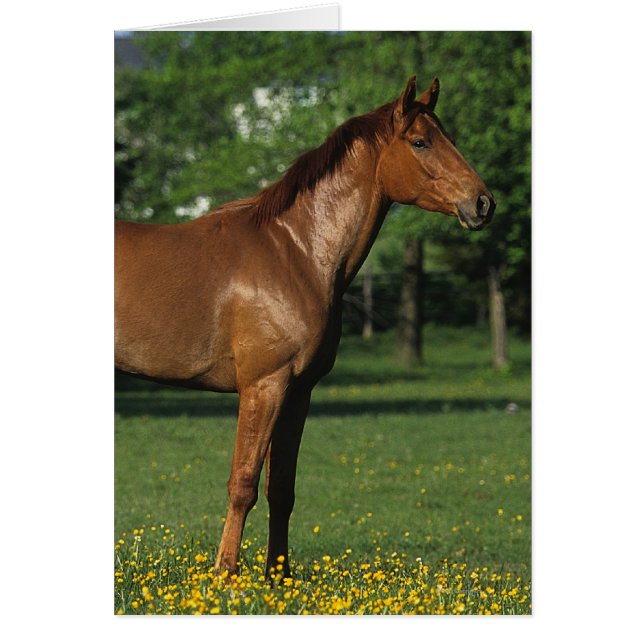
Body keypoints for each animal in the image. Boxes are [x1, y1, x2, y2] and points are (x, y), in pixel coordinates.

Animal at [115, 76, 496, 578]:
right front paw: (225, 576)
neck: (296, 252)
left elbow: (282, 490)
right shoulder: (264, 386)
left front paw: (279, 580)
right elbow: (244, 484)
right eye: (420, 142)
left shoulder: (298, 392)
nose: (483, 203)